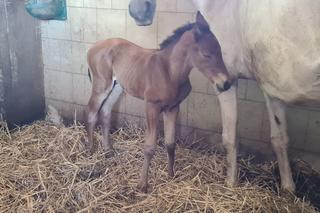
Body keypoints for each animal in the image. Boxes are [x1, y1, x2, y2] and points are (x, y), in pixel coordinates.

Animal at [85, 11, 232, 191]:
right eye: (206, 54)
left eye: (220, 51)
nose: (226, 84)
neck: (169, 72)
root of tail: (94, 46)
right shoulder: (152, 107)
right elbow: (149, 147)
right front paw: (142, 185)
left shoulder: (173, 108)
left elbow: (170, 143)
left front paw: (171, 174)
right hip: (101, 85)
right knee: (92, 112)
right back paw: (91, 150)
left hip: (117, 86)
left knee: (105, 112)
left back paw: (108, 150)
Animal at [129, 0, 320, 193]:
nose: (138, 13)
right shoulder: (271, 88)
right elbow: (279, 139)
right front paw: (288, 189)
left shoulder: (228, 83)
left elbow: (230, 137)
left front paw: (230, 183)